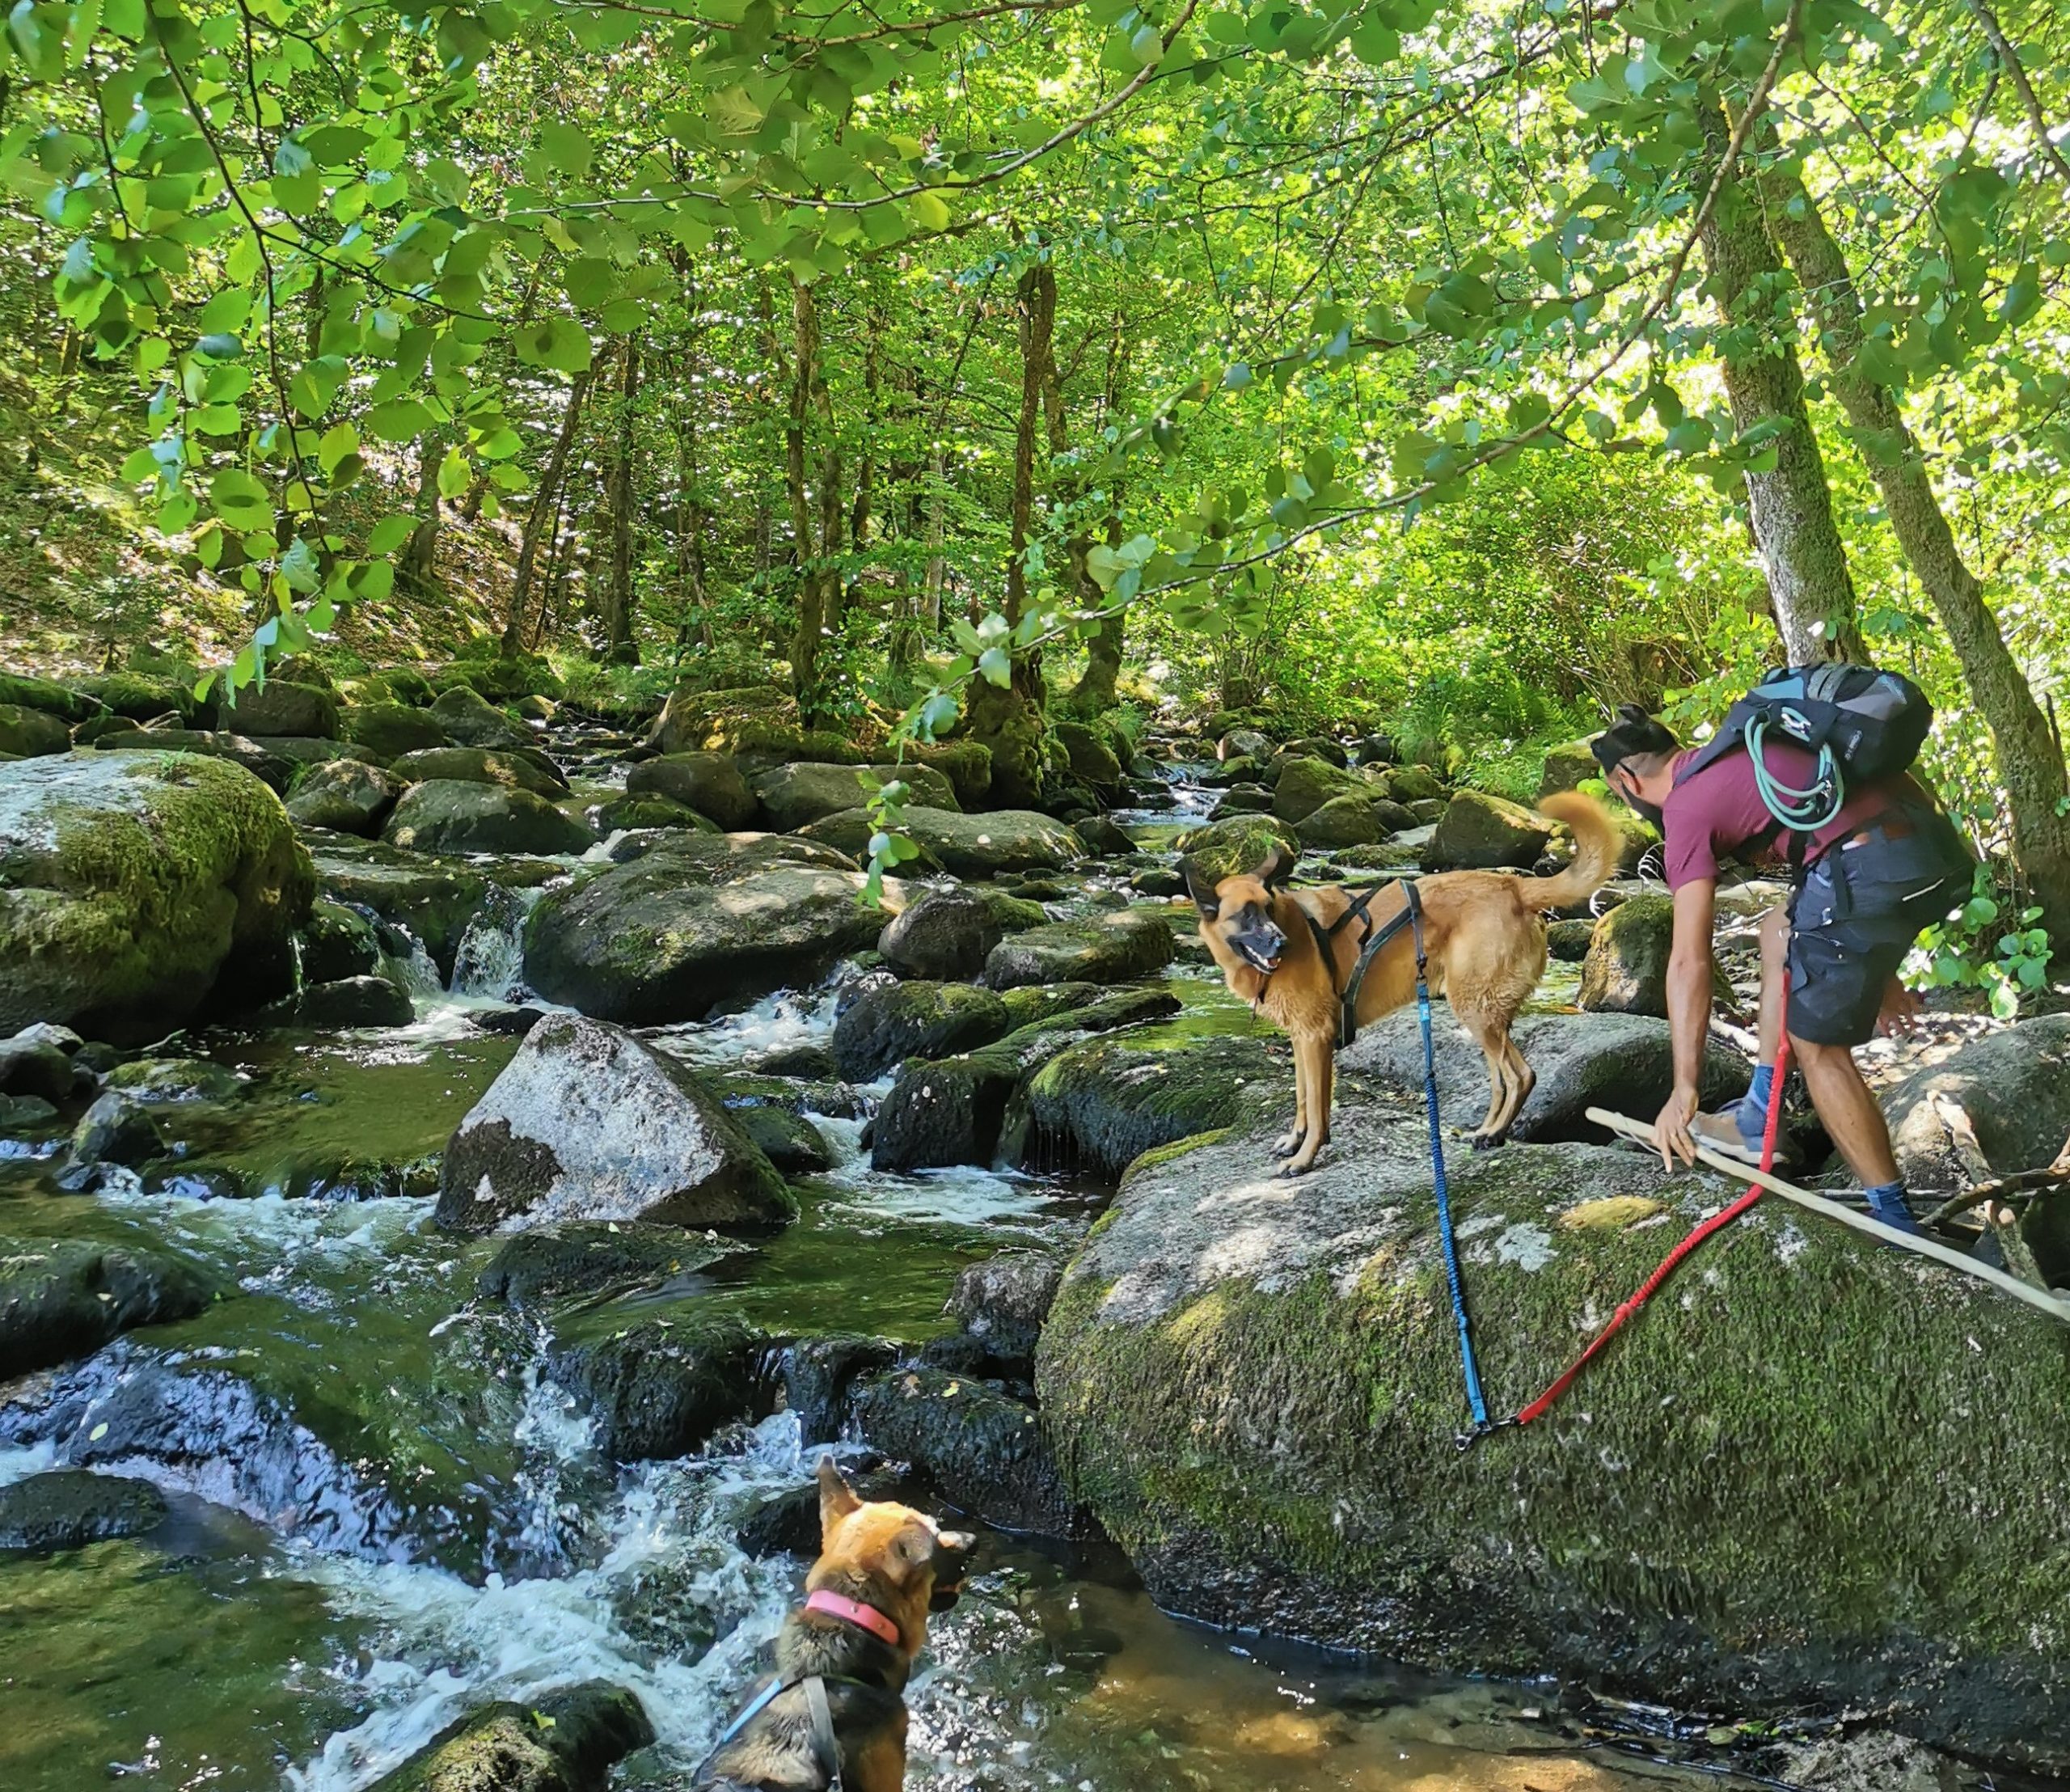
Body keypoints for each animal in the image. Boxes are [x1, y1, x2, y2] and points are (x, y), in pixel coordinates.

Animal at [1192, 790, 1623, 1167]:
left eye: (1267, 909)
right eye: (1247, 915)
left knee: (1520, 1076)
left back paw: (1494, 1132)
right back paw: (1488, 1132)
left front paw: (1304, 1159)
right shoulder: (1303, 1041)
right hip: (1482, 1014)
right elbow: (1303, 1099)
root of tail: (1514, 885)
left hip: (1475, 1009)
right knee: (1501, 1080)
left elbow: (1315, 1108)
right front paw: (1295, 1141)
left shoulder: (1315, 1038)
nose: (1280, 943)